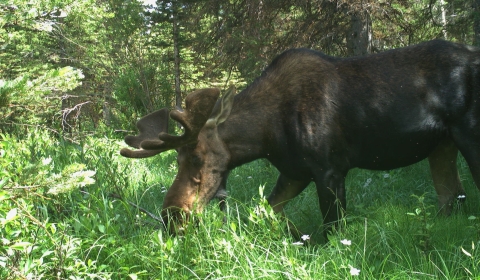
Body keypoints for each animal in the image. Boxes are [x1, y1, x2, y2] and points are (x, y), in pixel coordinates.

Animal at [121, 39, 480, 236]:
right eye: (177, 158)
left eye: (197, 157)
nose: (172, 216)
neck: (266, 137)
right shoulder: (294, 171)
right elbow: (266, 211)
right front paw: (294, 236)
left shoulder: (330, 169)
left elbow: (332, 231)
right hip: (442, 146)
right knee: (453, 198)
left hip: (470, 136)